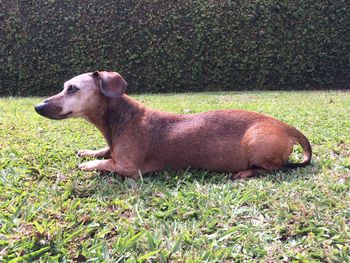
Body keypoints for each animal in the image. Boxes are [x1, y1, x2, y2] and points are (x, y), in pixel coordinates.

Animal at [34, 71, 312, 180]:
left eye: (72, 89)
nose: (37, 106)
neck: (121, 119)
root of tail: (288, 128)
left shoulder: (130, 168)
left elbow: (106, 163)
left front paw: (89, 165)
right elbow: (104, 151)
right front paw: (89, 152)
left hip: (256, 141)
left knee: (276, 167)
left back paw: (246, 172)